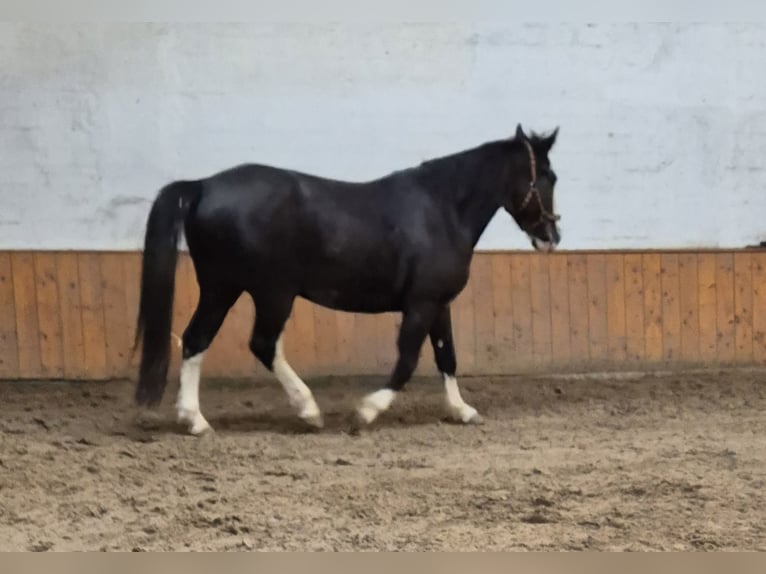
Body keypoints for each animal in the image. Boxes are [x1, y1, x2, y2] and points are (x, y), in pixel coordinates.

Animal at [135, 124, 560, 434]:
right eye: (547, 177)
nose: (551, 237)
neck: (443, 210)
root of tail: (203, 185)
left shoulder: (438, 303)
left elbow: (447, 356)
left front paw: (461, 410)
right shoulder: (420, 304)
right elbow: (407, 361)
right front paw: (365, 412)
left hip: (221, 289)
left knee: (196, 340)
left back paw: (195, 419)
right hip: (269, 292)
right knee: (261, 344)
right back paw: (307, 410)